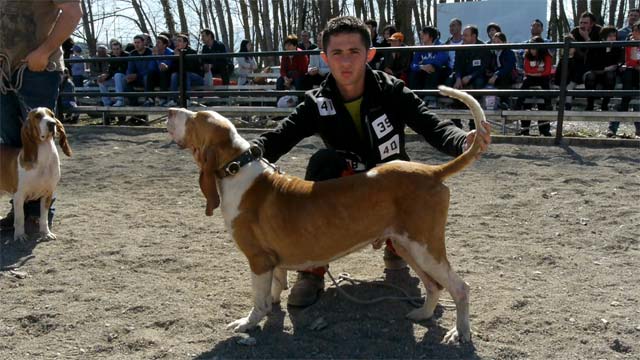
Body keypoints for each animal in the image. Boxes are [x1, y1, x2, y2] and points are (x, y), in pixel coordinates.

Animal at [0, 107, 72, 242]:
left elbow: (43, 218)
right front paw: (20, 235)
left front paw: (46, 233)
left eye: (52, 115)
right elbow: (20, 218)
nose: (52, 124)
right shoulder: (19, 196)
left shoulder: (48, 194)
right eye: (38, 116)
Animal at [168, 86, 488, 344]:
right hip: (407, 245)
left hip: (425, 247)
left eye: (194, 119)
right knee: (434, 286)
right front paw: (273, 308)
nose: (171, 110)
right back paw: (422, 314)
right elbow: (275, 288)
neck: (237, 166)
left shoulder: (258, 260)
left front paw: (247, 323)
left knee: (461, 288)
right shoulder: (273, 261)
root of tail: (431, 171)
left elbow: (258, 300)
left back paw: (460, 332)